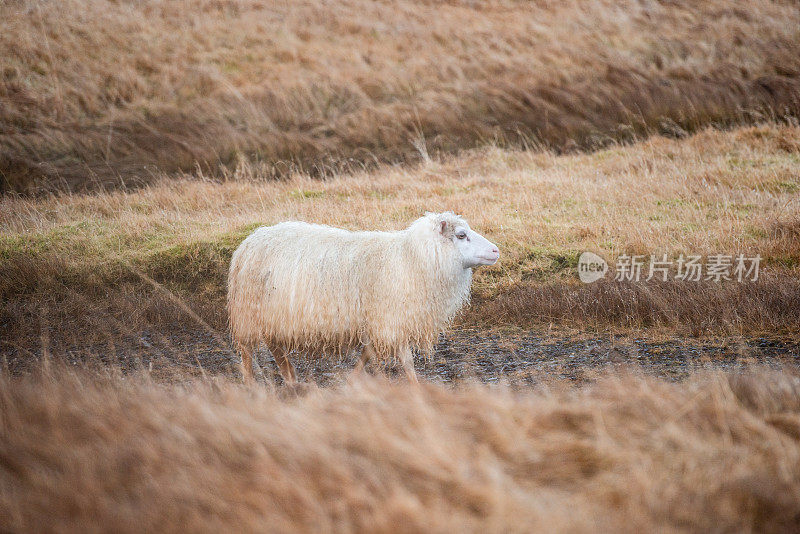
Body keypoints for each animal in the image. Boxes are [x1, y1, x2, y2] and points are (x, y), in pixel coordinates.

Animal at [227, 214, 500, 386]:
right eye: (462, 235)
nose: (496, 250)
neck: (410, 258)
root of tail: (248, 242)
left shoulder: (381, 321)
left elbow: (369, 352)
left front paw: (353, 378)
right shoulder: (390, 318)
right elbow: (405, 360)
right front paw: (414, 385)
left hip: (273, 314)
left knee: (274, 345)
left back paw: (290, 377)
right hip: (249, 311)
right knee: (248, 351)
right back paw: (251, 384)